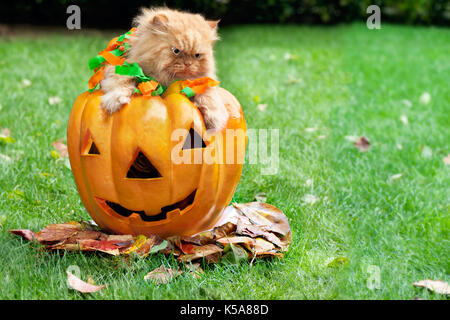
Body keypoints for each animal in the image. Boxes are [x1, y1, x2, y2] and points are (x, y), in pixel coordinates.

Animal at [101, 7, 229, 131]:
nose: (188, 63)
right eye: (176, 51)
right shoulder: (123, 67)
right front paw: (116, 100)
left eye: (197, 55)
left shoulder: (203, 82)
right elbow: (122, 80)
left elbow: (209, 95)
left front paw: (214, 119)